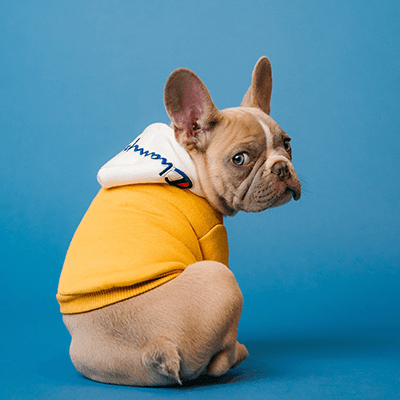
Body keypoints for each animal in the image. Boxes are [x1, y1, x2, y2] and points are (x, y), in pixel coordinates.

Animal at [56, 56, 300, 384]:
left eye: (287, 144)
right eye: (240, 159)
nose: (282, 167)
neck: (188, 165)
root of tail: (158, 345)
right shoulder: (213, 237)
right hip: (220, 277)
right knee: (217, 362)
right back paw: (238, 353)